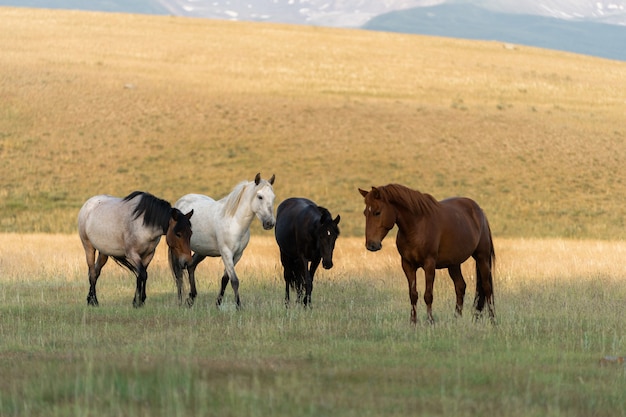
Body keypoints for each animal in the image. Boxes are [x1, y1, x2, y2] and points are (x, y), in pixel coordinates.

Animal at [173, 171, 276, 306]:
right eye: (260, 197)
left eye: (273, 197)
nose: (270, 223)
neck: (234, 222)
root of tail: (180, 202)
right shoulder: (226, 253)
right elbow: (235, 281)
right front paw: (238, 306)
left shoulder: (237, 255)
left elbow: (225, 279)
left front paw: (218, 303)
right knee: (178, 273)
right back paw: (180, 300)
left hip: (202, 251)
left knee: (191, 267)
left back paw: (191, 298)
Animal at [358, 184, 494, 324]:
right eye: (365, 213)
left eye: (377, 212)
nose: (371, 245)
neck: (416, 227)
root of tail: (480, 212)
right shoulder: (407, 265)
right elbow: (413, 295)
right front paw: (413, 322)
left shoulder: (429, 265)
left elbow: (428, 295)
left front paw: (430, 321)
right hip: (454, 263)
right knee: (460, 287)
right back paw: (456, 319)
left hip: (482, 258)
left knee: (487, 288)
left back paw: (492, 320)